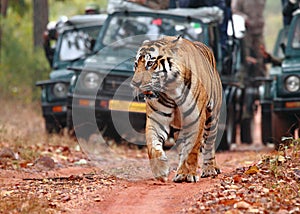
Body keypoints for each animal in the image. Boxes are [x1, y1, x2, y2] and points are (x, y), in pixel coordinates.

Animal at [131, 35, 223, 182]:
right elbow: (152, 145)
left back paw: (209, 169)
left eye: (150, 63)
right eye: (136, 64)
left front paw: (188, 174)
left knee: (209, 144)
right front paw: (160, 170)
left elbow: (192, 149)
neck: (171, 91)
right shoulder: (156, 119)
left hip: (212, 118)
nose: (135, 83)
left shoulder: (196, 119)